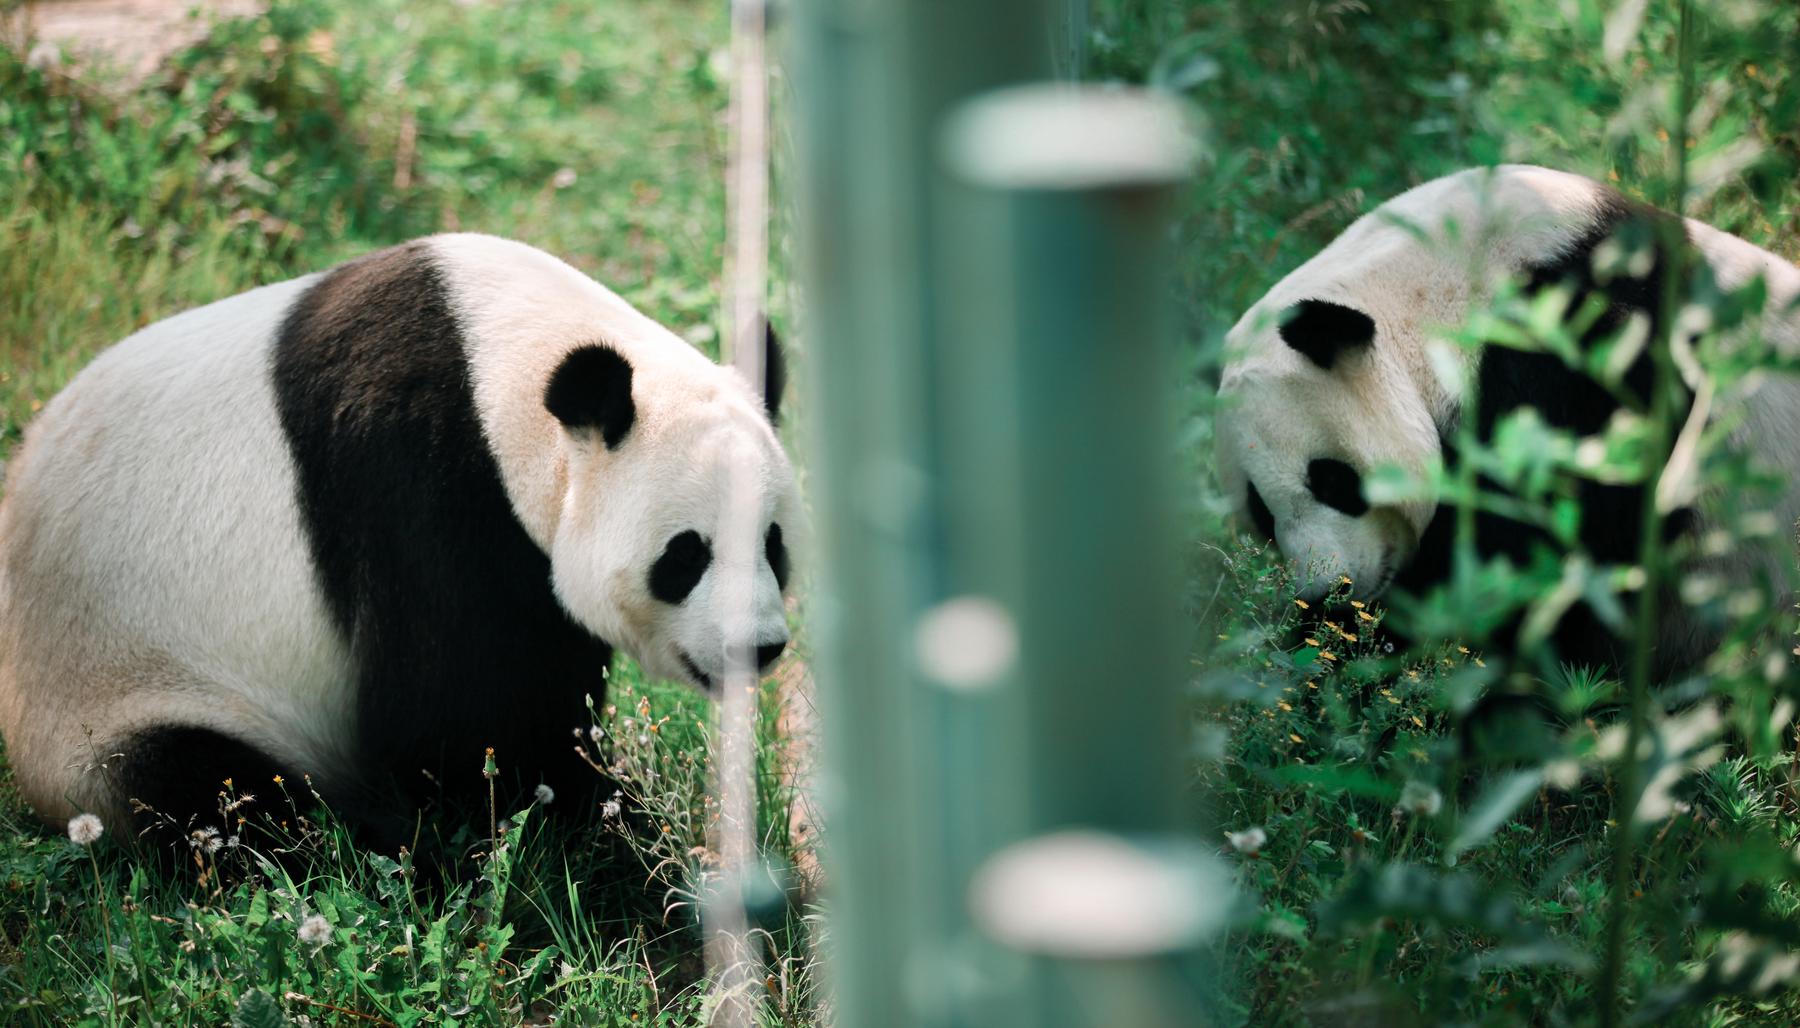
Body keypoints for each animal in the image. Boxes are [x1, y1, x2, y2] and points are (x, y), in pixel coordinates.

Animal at [0, 235, 802, 853]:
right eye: (687, 555)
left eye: (774, 544)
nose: (758, 648)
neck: (501, 369)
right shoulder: (416, 479)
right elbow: (456, 721)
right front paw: (589, 822)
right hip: (124, 687)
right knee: (208, 791)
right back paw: (358, 838)